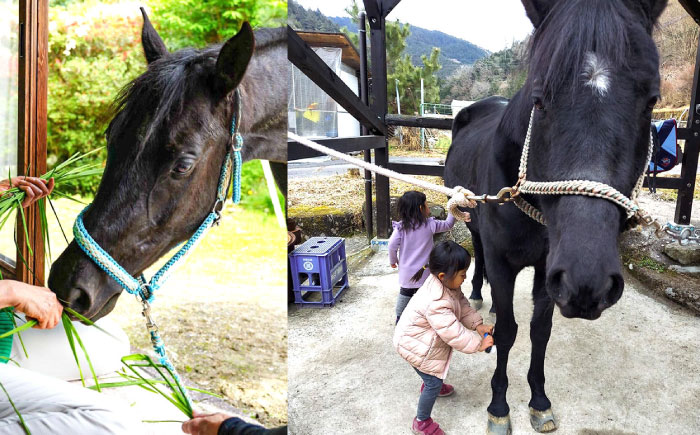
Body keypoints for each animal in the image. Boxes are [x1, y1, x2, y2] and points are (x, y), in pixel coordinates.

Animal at [442, 0, 668, 432]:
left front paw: (539, 401)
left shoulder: (550, 268)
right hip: (472, 220)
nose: (589, 282)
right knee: (477, 249)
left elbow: (539, 331)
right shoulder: (503, 262)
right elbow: (507, 332)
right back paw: (478, 292)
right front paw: (499, 407)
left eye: (651, 100)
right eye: (539, 99)